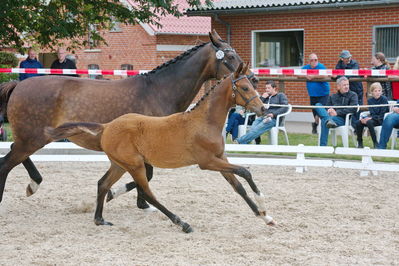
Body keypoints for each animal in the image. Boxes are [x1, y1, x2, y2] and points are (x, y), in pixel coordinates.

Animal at [45, 62, 274, 233]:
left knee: (103, 184)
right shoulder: (207, 162)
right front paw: (263, 206)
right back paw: (182, 223)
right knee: (147, 193)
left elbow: (238, 186)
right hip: (135, 165)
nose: (263, 109)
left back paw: (100, 219)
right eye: (244, 87)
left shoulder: (221, 159)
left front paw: (266, 218)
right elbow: (245, 172)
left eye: (252, 85)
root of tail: (107, 126)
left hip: (119, 165)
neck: (204, 122)